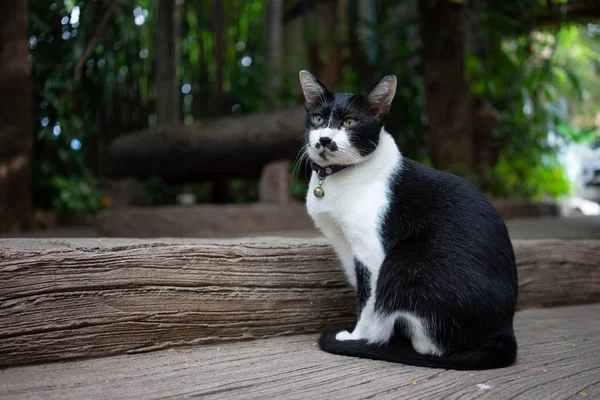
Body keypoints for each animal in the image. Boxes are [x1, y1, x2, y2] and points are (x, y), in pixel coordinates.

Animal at [300, 69, 520, 372]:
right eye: (318, 119)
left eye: (350, 122)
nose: (324, 140)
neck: (334, 178)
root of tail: (504, 330)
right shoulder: (345, 245)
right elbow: (363, 293)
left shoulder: (371, 253)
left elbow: (368, 301)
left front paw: (357, 337)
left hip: (404, 261)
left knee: (431, 346)